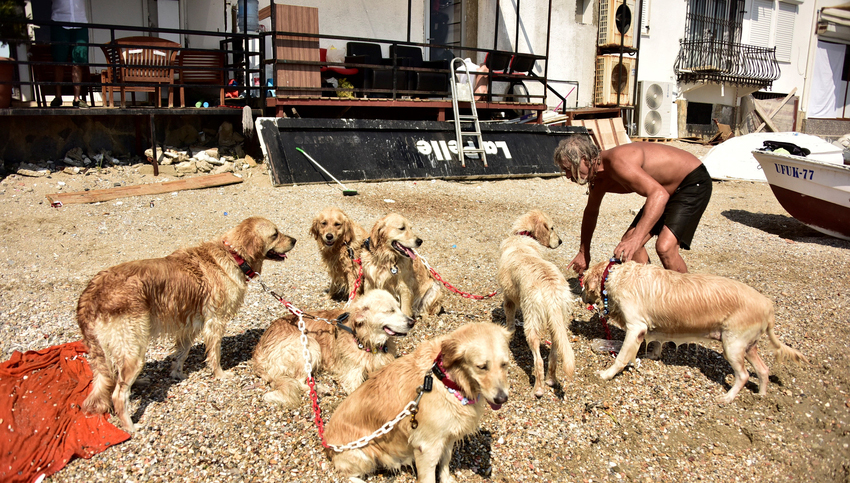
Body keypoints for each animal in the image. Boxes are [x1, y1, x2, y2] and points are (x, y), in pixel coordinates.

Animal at [76, 217, 294, 432]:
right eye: (275, 234)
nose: (294, 240)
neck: (233, 255)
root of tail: (89, 294)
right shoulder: (215, 321)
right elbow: (215, 354)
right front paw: (220, 375)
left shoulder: (189, 325)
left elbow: (182, 353)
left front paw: (177, 374)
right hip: (133, 346)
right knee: (118, 394)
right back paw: (131, 426)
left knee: (116, 377)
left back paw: (139, 383)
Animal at [248, 290, 414, 410]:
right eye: (390, 311)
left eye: (399, 308)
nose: (412, 322)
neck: (366, 341)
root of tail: (257, 354)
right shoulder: (352, 375)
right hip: (310, 344)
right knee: (299, 381)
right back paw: (320, 388)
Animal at [324, 322, 510, 483]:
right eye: (482, 366)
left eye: (505, 364)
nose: (502, 398)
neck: (447, 379)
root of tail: (326, 443)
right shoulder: (426, 446)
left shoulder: (448, 436)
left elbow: (445, 462)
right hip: (362, 454)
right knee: (345, 474)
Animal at [496, 211, 576, 398]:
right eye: (552, 227)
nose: (560, 241)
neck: (522, 236)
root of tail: (551, 289)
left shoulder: (508, 298)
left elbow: (510, 321)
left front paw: (508, 332)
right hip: (559, 323)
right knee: (553, 355)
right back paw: (551, 380)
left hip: (532, 322)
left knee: (538, 361)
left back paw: (538, 389)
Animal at [584, 260, 808, 404]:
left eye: (583, 284)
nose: (583, 297)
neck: (615, 276)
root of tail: (768, 305)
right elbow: (656, 342)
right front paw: (652, 355)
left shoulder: (636, 326)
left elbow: (621, 357)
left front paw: (606, 374)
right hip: (748, 346)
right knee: (763, 370)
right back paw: (761, 395)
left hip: (733, 345)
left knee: (744, 375)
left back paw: (727, 398)